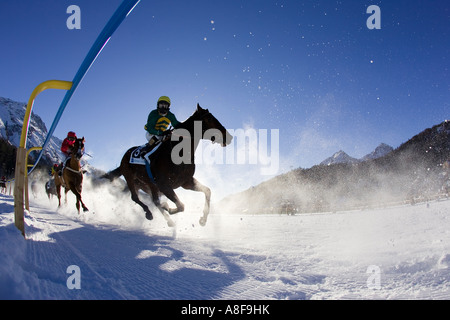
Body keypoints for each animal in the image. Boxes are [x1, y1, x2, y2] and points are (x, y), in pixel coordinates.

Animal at [104, 104, 234, 226]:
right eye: (209, 119)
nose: (229, 136)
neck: (180, 153)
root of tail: (126, 155)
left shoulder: (186, 182)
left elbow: (207, 191)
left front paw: (203, 220)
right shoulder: (164, 185)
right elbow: (181, 206)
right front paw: (169, 208)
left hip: (148, 184)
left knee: (155, 200)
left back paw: (167, 218)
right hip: (131, 178)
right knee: (136, 197)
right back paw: (150, 213)